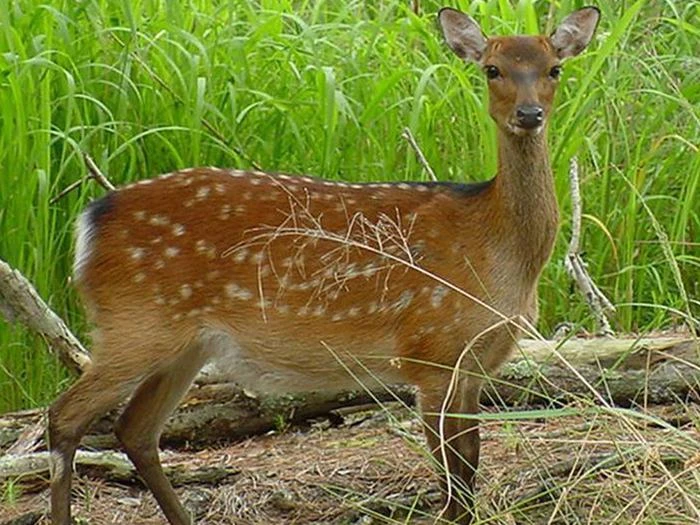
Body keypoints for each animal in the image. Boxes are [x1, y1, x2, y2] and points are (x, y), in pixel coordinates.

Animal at [48, 6, 600, 524]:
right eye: (491, 69)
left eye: (554, 68)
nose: (529, 114)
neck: (497, 250)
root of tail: (89, 222)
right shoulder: (431, 350)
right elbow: (454, 478)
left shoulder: (476, 364)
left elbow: (469, 465)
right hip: (135, 323)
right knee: (65, 416)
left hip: (186, 342)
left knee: (135, 428)